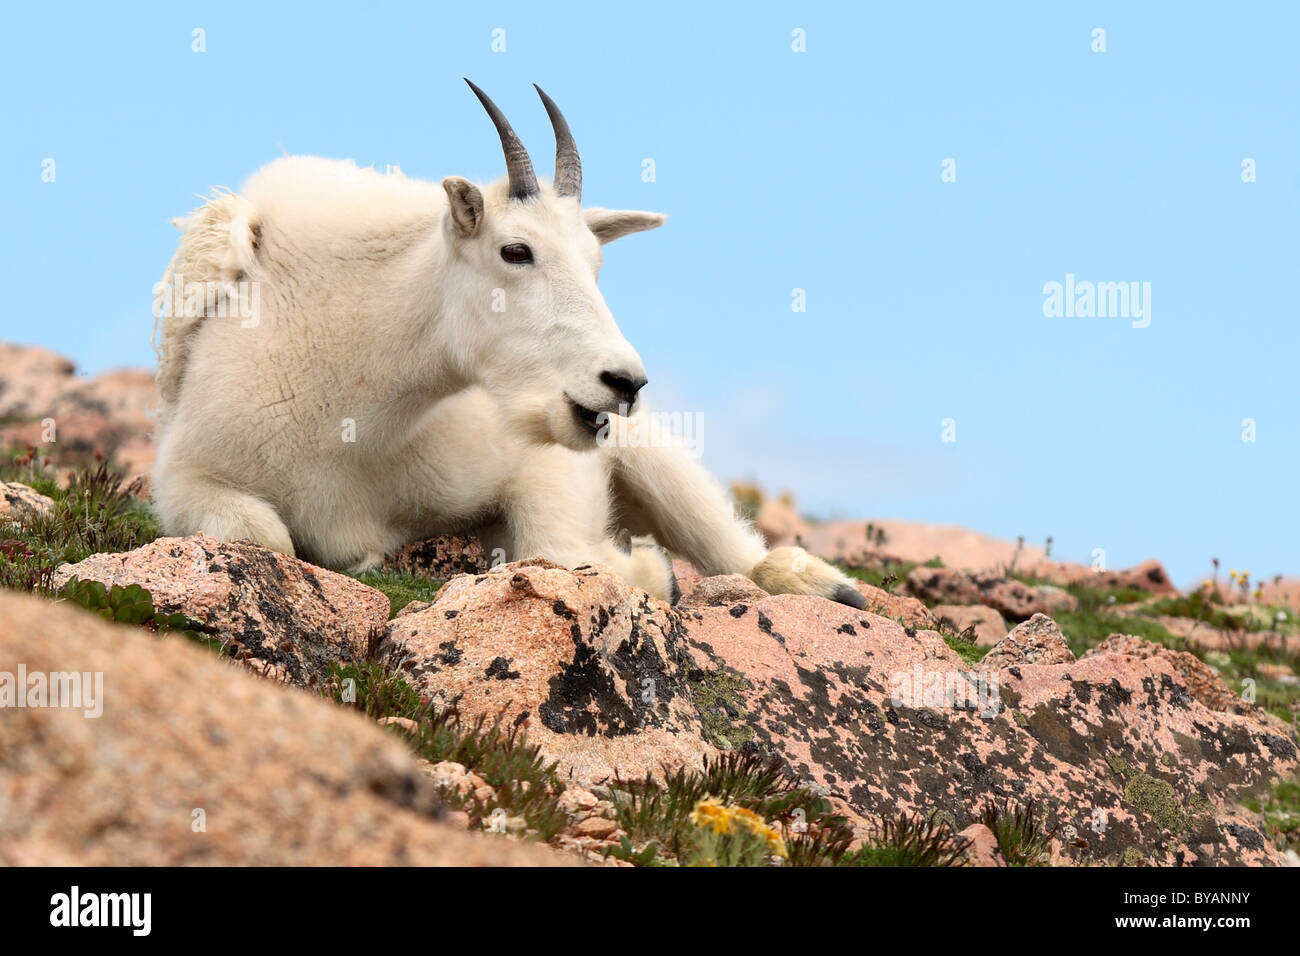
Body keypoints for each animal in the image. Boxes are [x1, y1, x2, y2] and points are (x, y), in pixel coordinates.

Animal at [149, 80, 863, 606]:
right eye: (515, 250)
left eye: (596, 262)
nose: (624, 382)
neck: (352, 408)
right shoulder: (187, 476)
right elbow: (267, 534)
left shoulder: (540, 450)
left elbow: (553, 543)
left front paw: (648, 569)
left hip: (643, 446)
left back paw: (827, 586)